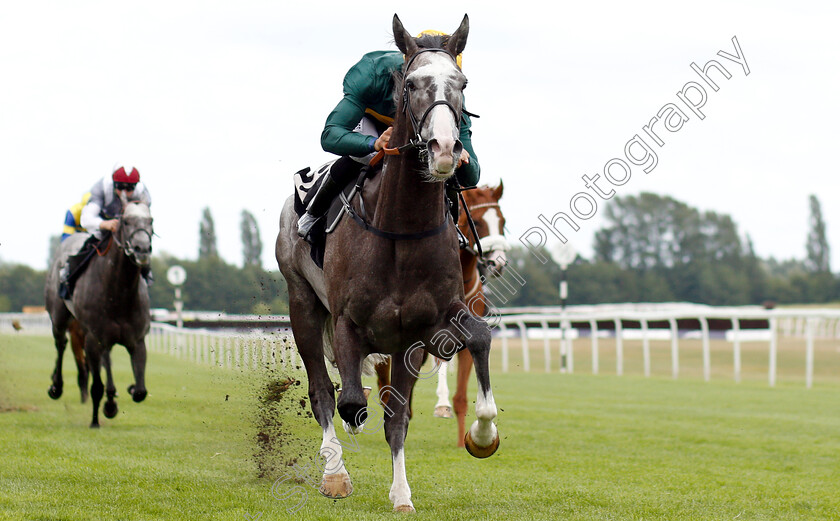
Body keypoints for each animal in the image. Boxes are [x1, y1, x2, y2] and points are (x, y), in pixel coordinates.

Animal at [276, 14, 498, 510]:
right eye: (411, 84)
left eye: (463, 84)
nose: (444, 148)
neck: (400, 228)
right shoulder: (345, 320)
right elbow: (348, 401)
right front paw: (339, 469)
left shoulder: (430, 323)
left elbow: (475, 343)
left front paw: (480, 437)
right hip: (302, 301)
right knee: (323, 393)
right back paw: (335, 474)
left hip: (399, 341)